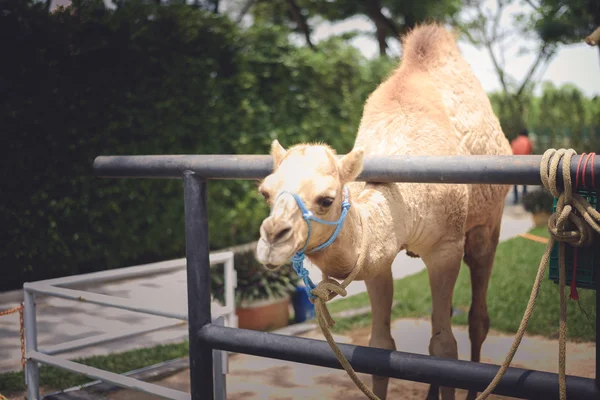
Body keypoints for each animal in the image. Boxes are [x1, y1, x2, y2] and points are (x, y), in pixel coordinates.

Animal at [253, 22, 510, 400]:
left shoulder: (445, 248)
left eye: (326, 199)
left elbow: (445, 349)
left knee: (478, 317)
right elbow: (380, 347)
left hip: (487, 224)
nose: (273, 237)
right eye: (266, 193)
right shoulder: (377, 260)